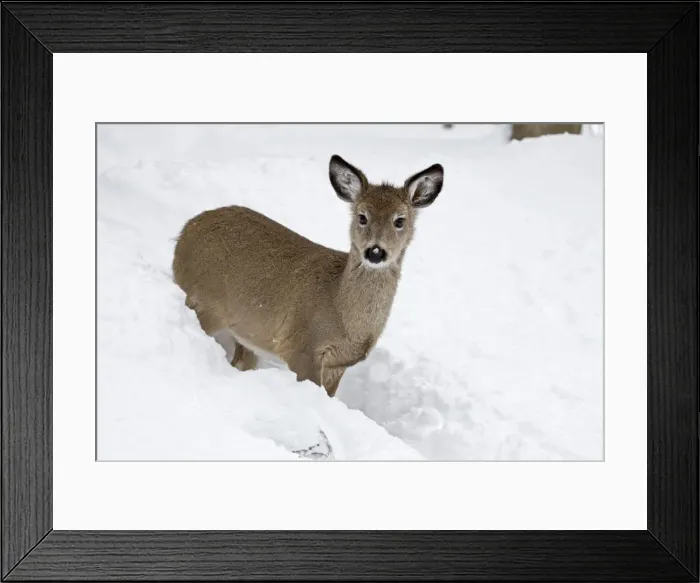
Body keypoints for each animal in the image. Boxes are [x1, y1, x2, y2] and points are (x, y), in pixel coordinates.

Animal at [172, 155, 444, 397]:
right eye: (362, 216)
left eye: (400, 220)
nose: (375, 251)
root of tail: (184, 232)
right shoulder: (303, 348)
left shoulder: (337, 365)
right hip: (205, 302)